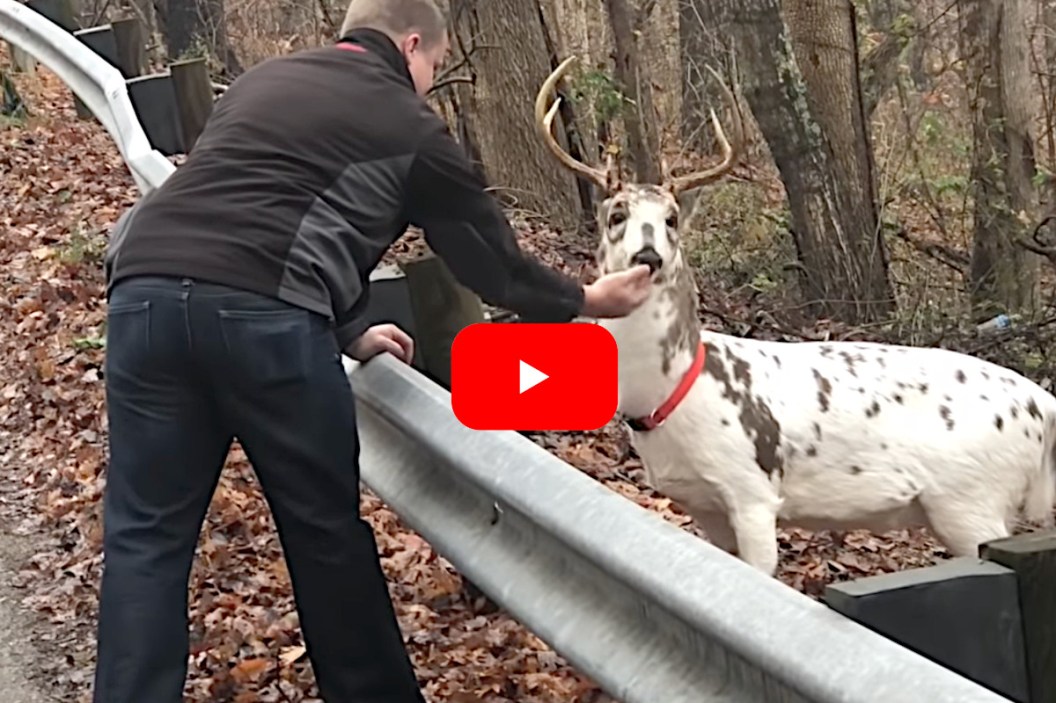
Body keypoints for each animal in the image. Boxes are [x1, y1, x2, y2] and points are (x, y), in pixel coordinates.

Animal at [534, 56, 1056, 576]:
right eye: (616, 215)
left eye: (672, 219)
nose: (649, 257)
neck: (670, 393)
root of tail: (1042, 404)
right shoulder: (705, 505)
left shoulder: (752, 490)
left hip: (972, 497)